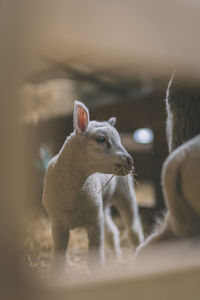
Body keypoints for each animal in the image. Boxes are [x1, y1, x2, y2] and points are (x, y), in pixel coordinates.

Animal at [42, 99, 143, 270]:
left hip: (124, 194)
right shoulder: (58, 223)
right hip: (102, 205)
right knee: (112, 232)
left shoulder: (94, 222)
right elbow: (59, 262)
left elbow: (95, 259)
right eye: (101, 139)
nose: (130, 161)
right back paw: (118, 258)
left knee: (134, 230)